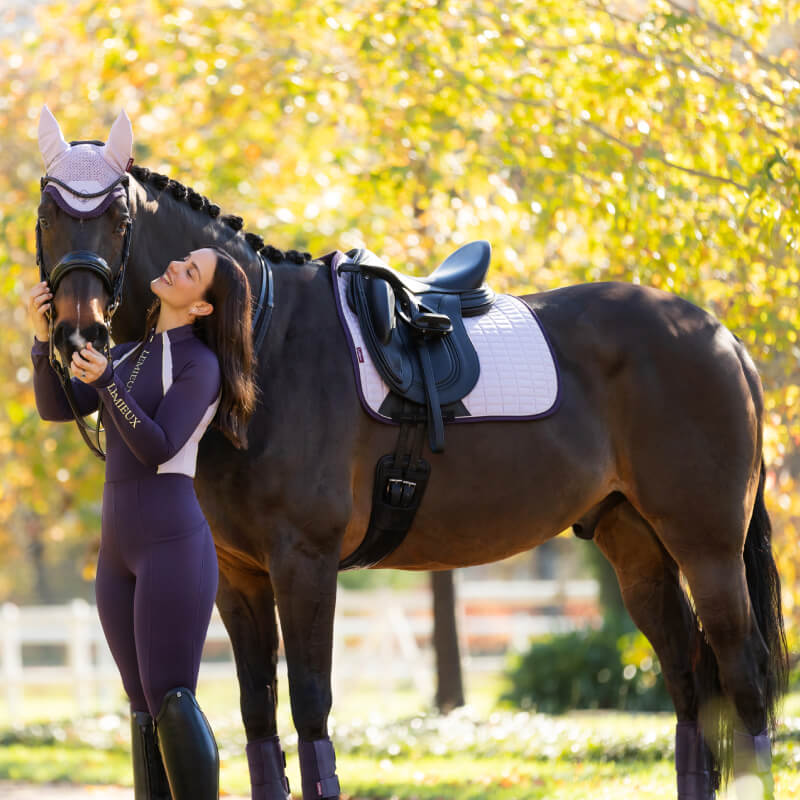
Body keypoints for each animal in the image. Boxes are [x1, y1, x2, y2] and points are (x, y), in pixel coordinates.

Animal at [34, 108, 787, 800]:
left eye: (116, 215)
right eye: (46, 213)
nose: (77, 334)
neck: (261, 341)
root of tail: (718, 335)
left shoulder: (304, 563)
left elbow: (311, 710)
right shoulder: (238, 577)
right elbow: (257, 717)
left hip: (707, 547)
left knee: (744, 681)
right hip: (635, 543)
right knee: (688, 682)